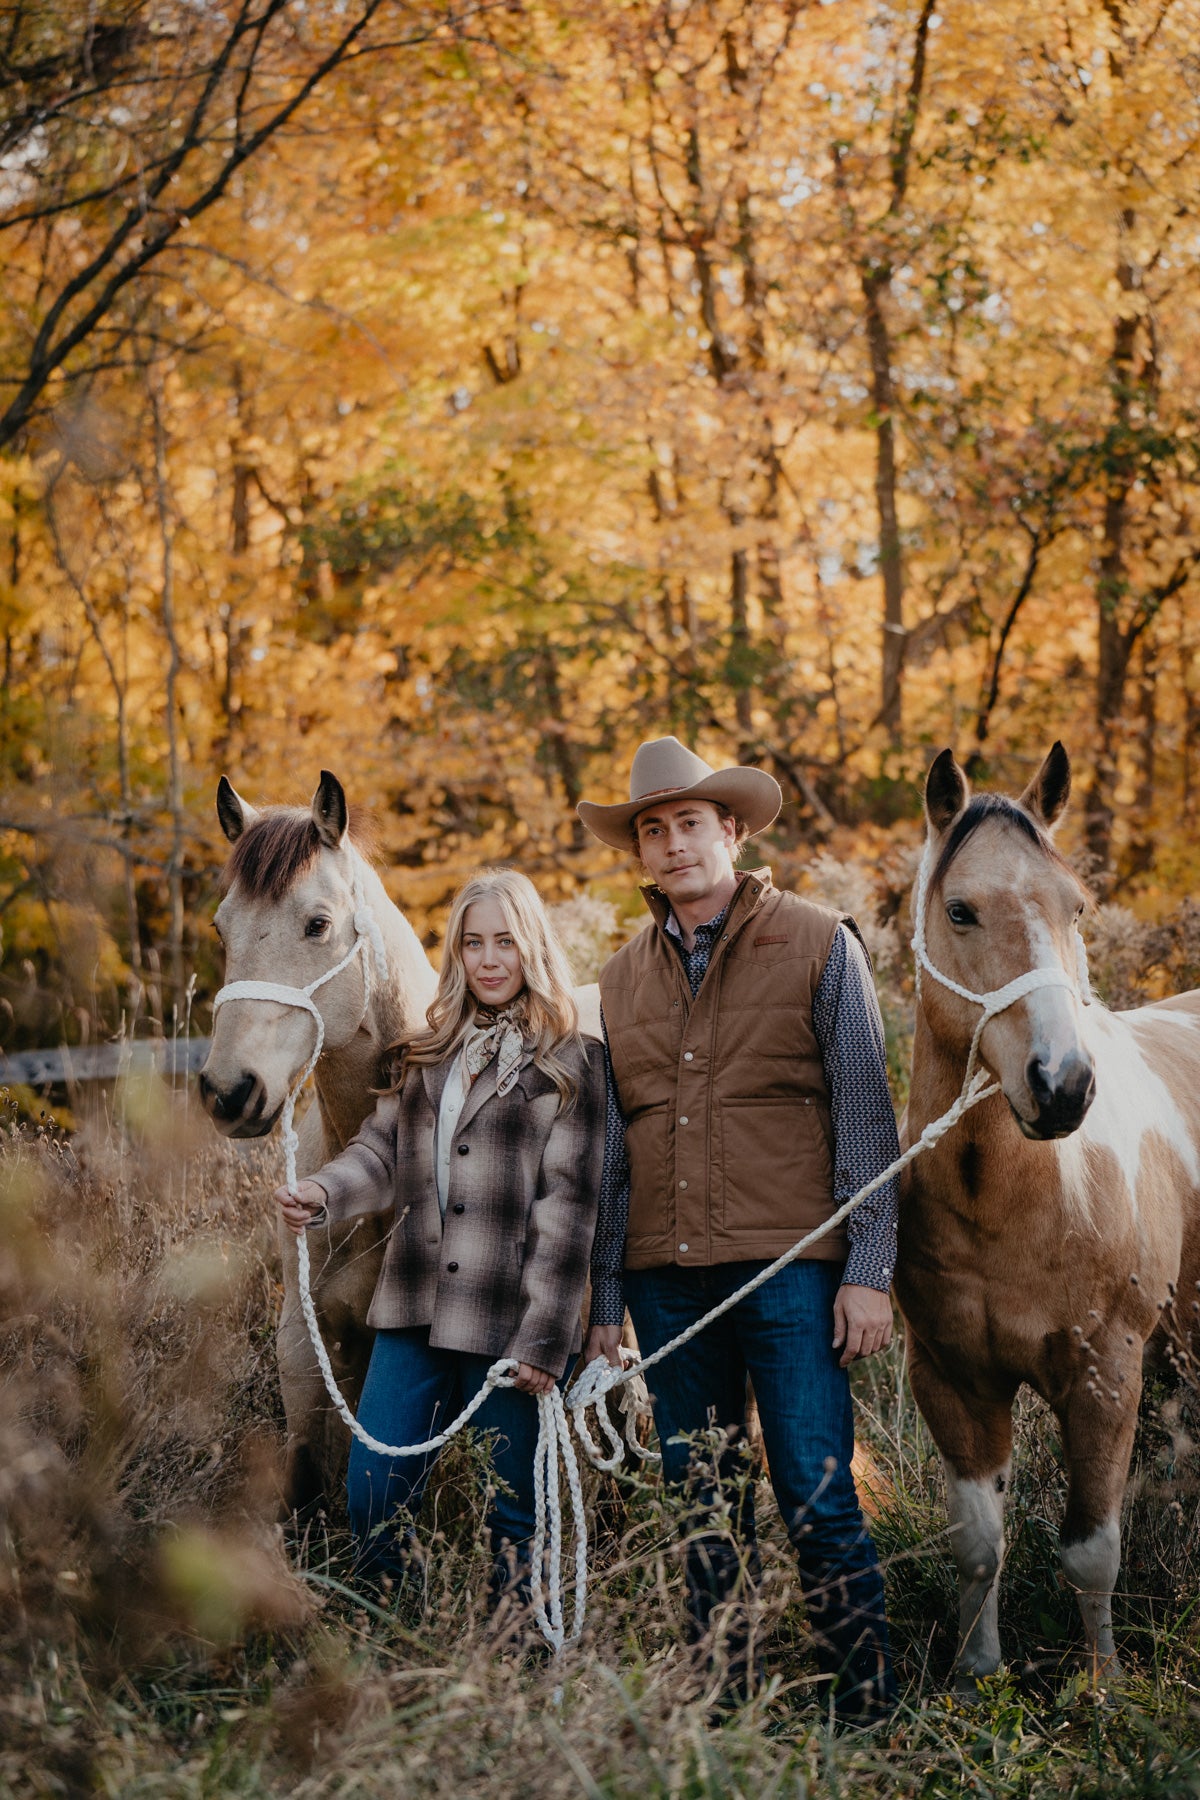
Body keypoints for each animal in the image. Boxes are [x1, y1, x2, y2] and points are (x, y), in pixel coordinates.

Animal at [895, 738, 1200, 1692]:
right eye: (961, 909)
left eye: (1078, 906)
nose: (1063, 1084)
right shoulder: (952, 1378)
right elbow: (979, 1544)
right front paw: (977, 1673)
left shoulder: (1106, 1376)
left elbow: (1090, 1551)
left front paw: (1101, 1684)